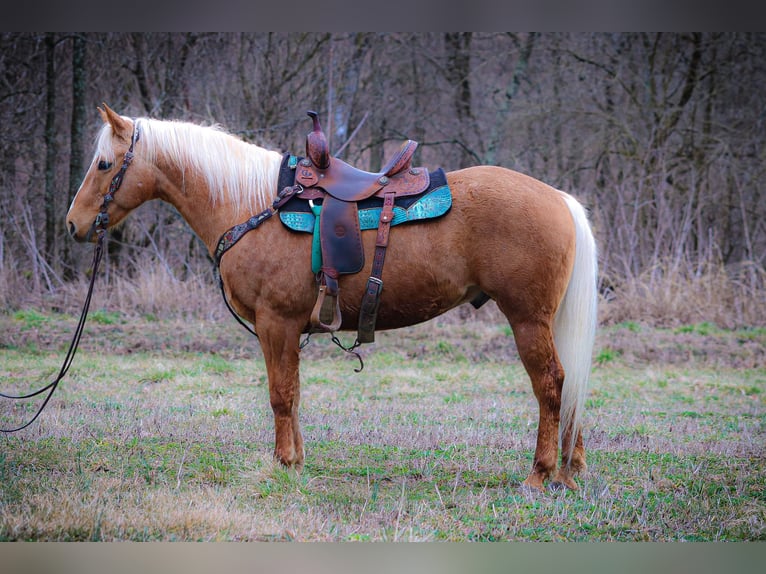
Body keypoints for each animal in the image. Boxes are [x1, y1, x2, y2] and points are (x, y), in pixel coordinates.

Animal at [67, 106, 600, 492]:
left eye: (104, 164)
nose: (74, 224)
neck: (250, 205)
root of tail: (559, 199)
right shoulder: (286, 330)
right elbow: (294, 393)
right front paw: (297, 461)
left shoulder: (275, 322)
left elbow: (280, 394)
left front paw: (282, 463)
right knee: (569, 388)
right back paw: (570, 470)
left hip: (528, 319)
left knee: (552, 385)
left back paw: (540, 474)